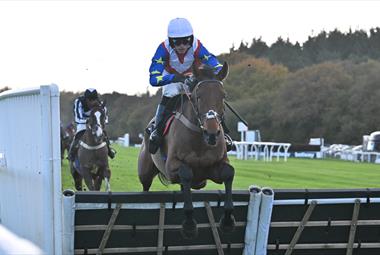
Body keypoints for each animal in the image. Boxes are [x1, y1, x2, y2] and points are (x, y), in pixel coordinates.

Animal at [138, 62, 236, 239]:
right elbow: (186, 173)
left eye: (223, 96)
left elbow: (228, 173)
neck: (200, 140)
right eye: (198, 96)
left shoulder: (212, 169)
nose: (212, 132)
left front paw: (227, 221)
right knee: (146, 187)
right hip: (145, 172)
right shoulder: (171, 167)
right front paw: (189, 224)